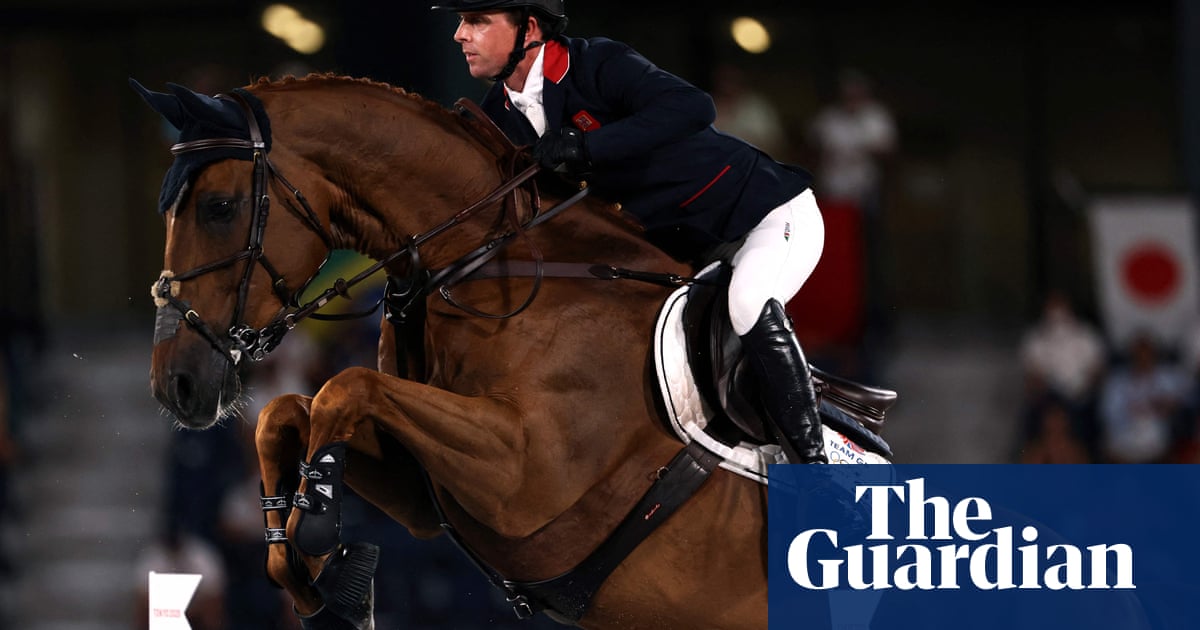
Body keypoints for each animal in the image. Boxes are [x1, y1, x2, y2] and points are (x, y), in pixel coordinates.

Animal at [136, 75, 892, 628]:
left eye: (220, 208)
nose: (176, 386)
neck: (479, 260)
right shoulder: (428, 493)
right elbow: (291, 411)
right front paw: (311, 565)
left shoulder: (527, 479)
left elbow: (346, 387)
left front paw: (319, 527)